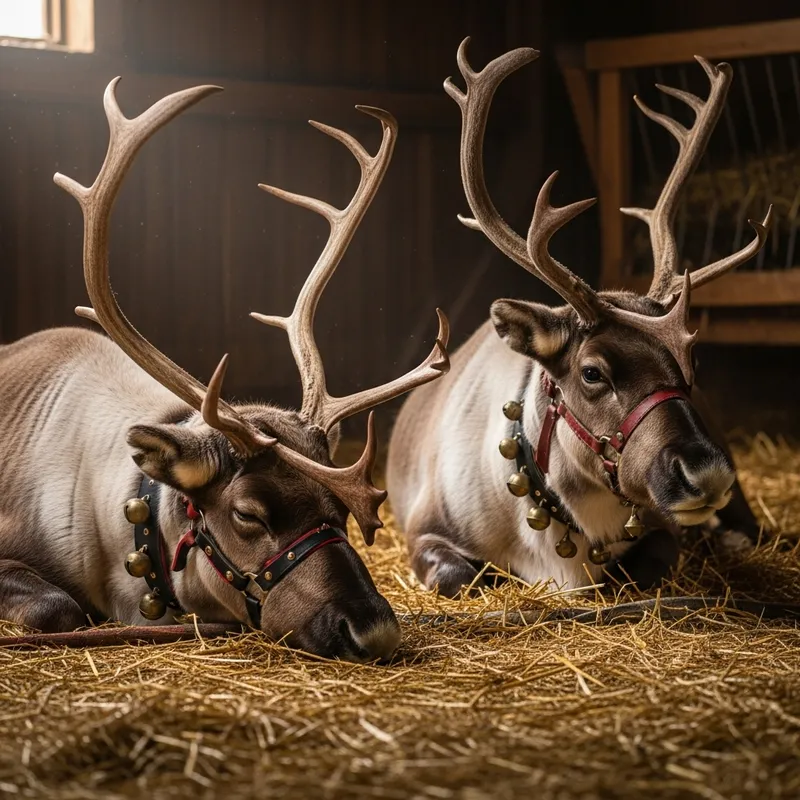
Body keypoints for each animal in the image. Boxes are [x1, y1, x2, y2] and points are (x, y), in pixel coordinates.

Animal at [386, 40, 771, 598]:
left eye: (692, 362)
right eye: (592, 372)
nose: (706, 473)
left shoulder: (664, 531)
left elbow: (643, 568)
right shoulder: (425, 532)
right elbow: (464, 575)